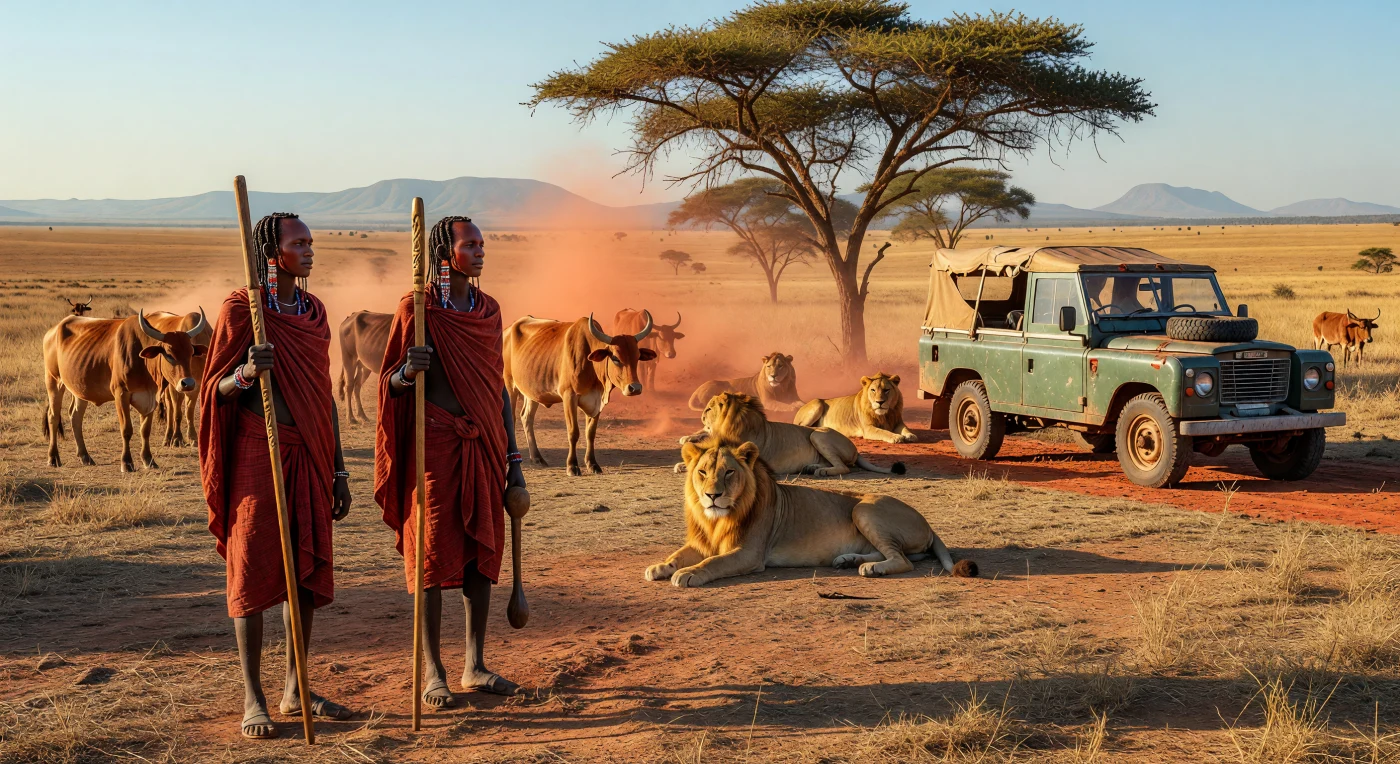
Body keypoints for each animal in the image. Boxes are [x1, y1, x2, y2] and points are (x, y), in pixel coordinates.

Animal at [645, 439, 976, 587]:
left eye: (728, 473)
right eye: (702, 472)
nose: (713, 495)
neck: (715, 520)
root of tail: (927, 523)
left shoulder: (749, 554)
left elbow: (714, 562)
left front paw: (688, 574)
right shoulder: (701, 542)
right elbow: (678, 554)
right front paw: (660, 567)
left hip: (863, 508)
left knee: (903, 560)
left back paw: (871, 569)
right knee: (895, 553)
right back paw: (848, 560)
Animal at [678, 392, 905, 476]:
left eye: (709, 409)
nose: (701, 417)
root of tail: (856, 449)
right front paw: (682, 464)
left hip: (817, 435)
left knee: (844, 467)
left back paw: (821, 471)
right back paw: (811, 467)